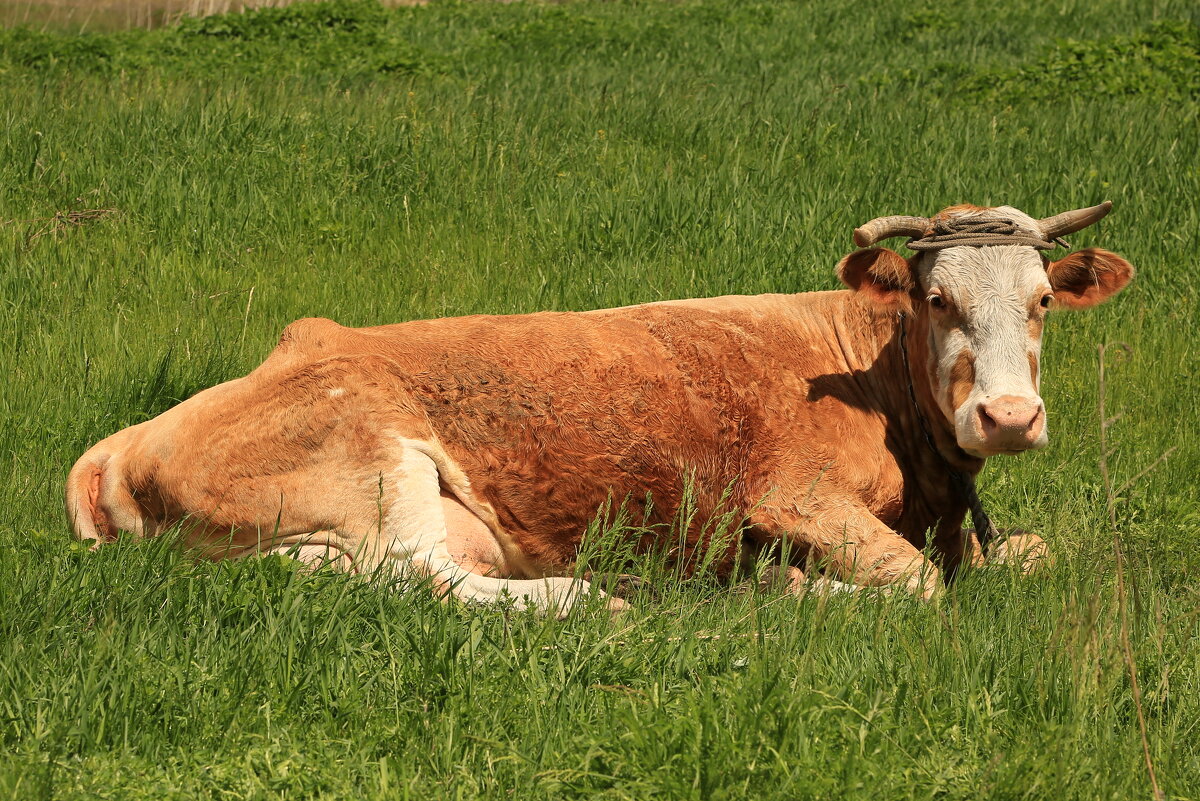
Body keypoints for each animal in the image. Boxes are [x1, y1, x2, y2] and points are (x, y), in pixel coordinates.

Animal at [65, 203, 1132, 618]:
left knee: (345, 579)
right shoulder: (795, 496)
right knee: (423, 577)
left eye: (1042, 300)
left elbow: (1036, 551)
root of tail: (124, 440)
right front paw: (793, 586)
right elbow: (917, 582)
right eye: (938, 299)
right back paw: (596, 597)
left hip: (300, 535)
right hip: (372, 453)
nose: (1008, 416)